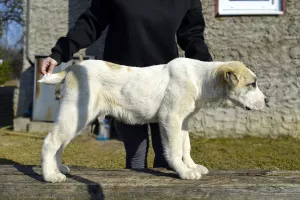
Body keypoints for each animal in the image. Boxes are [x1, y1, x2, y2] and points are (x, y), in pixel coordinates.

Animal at [38, 57, 266, 183]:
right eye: (252, 84)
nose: (267, 100)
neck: (200, 80)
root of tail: (74, 68)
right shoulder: (170, 119)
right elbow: (174, 150)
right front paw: (184, 172)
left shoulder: (183, 122)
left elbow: (186, 147)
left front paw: (192, 166)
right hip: (75, 114)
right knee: (51, 142)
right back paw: (50, 175)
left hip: (76, 118)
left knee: (60, 143)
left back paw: (59, 168)